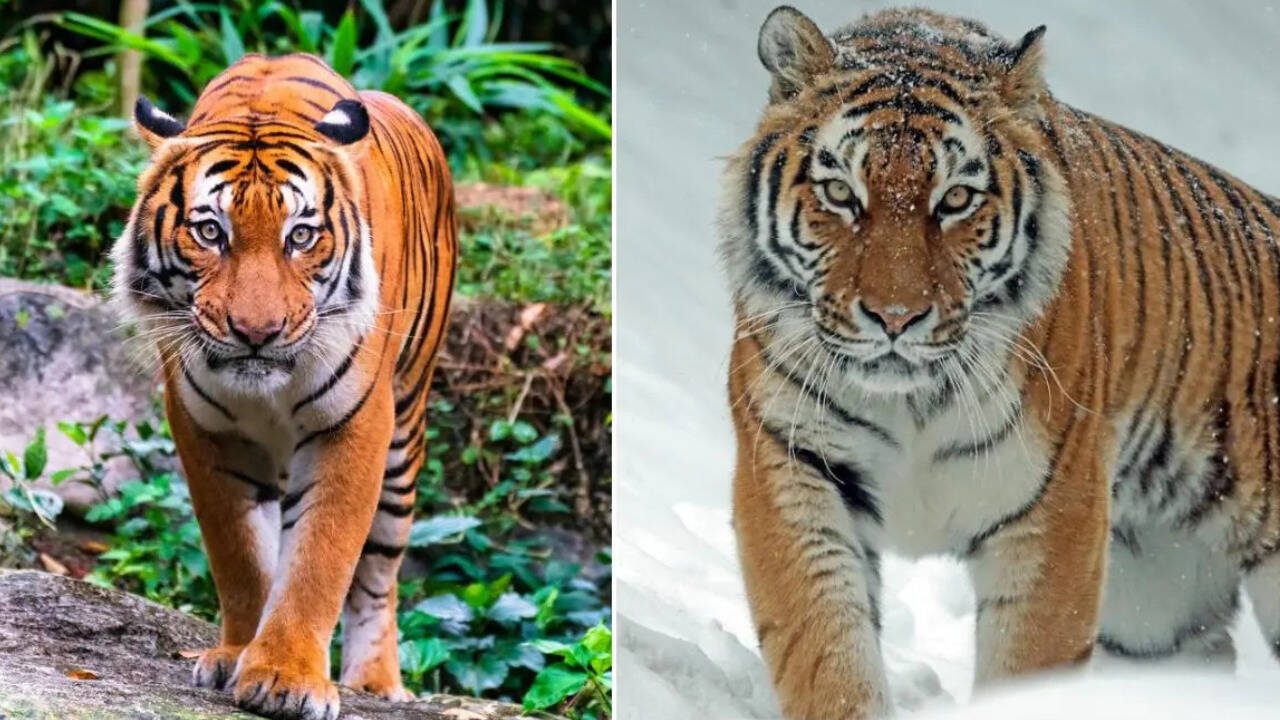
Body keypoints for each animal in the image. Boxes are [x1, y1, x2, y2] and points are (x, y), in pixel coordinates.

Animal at [111, 53, 457, 720]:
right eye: (210, 232)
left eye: (300, 236)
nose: (257, 332)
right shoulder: (207, 429)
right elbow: (241, 556)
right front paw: (236, 654)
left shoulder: (354, 425)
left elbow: (322, 556)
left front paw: (286, 678)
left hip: (405, 436)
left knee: (379, 575)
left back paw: (374, 682)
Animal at [722, 6, 1280, 718]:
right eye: (841, 193)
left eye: (956, 200)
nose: (895, 318)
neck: (912, 401)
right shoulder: (794, 465)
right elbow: (826, 650)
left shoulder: (1055, 510)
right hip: (1158, 607)